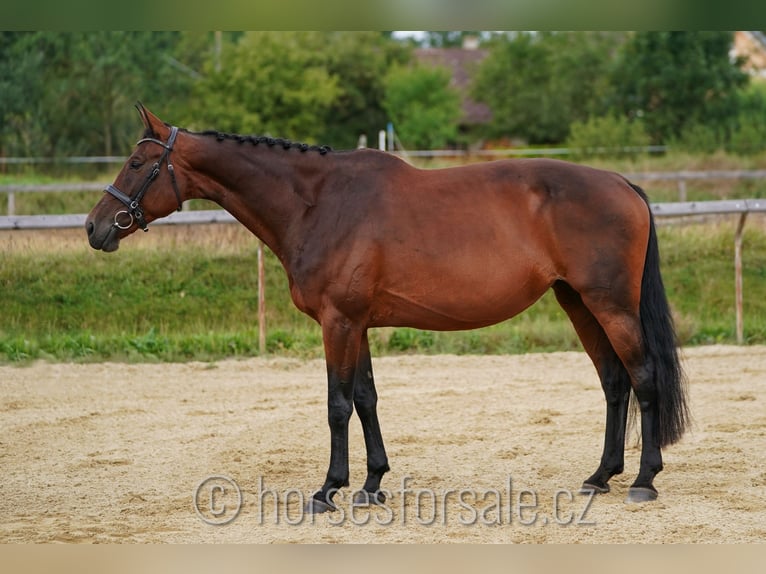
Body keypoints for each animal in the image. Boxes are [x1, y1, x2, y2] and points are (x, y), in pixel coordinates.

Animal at [84, 106, 688, 510]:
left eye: (137, 162)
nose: (94, 228)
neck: (318, 203)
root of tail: (623, 184)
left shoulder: (338, 323)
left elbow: (336, 404)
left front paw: (328, 489)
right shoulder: (358, 324)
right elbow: (366, 399)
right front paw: (372, 484)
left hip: (610, 305)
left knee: (643, 377)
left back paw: (643, 481)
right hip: (578, 303)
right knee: (614, 381)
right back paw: (601, 475)